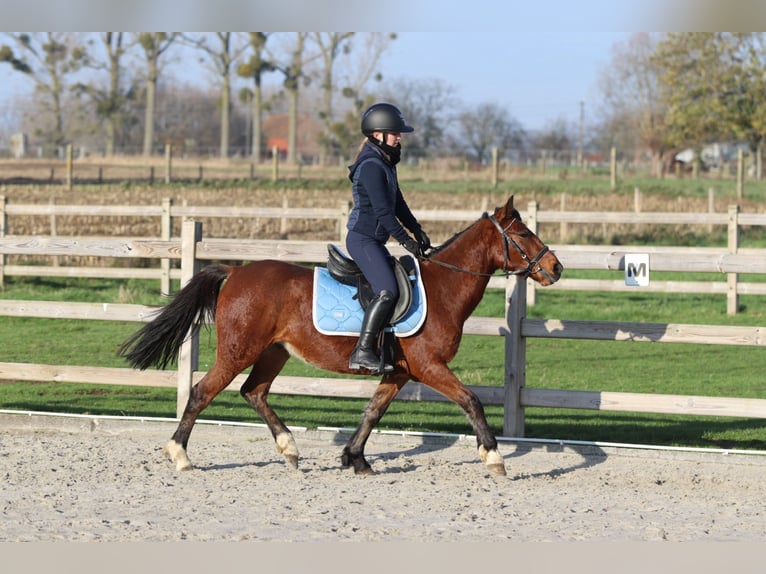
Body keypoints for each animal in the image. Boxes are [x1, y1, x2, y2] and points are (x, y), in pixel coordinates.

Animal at [119, 195, 563, 476]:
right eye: (523, 235)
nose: (555, 268)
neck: (442, 288)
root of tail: (235, 271)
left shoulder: (400, 371)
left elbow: (372, 412)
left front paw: (355, 458)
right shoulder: (428, 366)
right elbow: (471, 401)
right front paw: (494, 456)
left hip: (274, 352)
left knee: (254, 392)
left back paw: (289, 449)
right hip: (237, 351)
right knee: (202, 392)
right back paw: (180, 455)